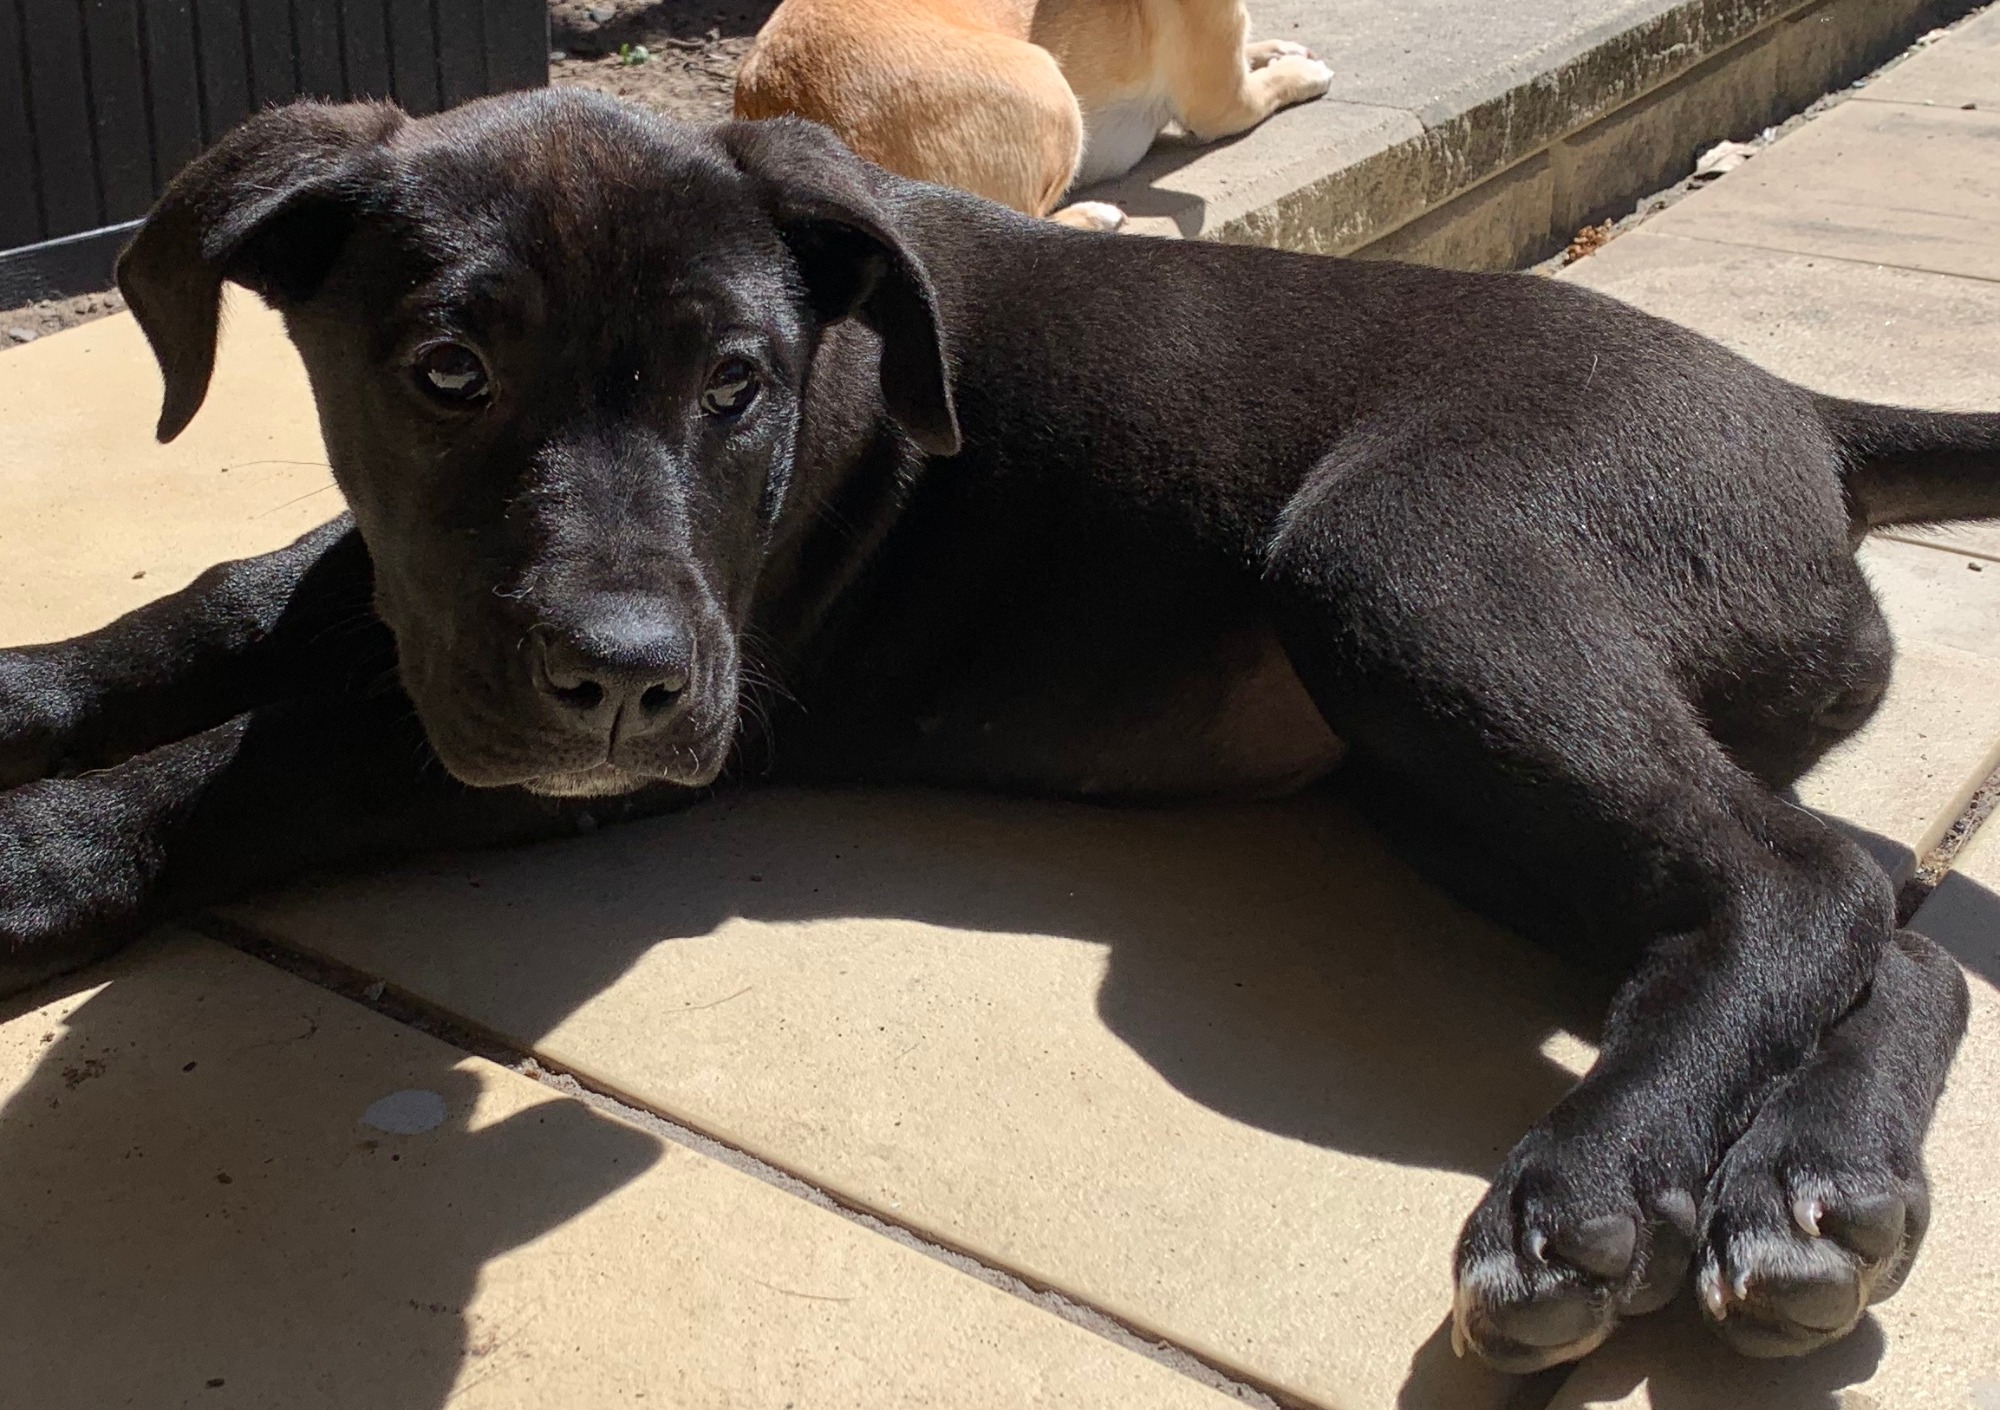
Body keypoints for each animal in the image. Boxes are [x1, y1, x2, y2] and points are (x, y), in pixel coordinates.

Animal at [2, 88, 1990, 1374]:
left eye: (738, 389)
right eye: (445, 374)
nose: (630, 676)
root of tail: (1801, 410)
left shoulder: (606, 731)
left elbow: (257, 762)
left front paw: (37, 850)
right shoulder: (430, 613)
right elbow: (230, 603)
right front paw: (31, 684)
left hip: (1412, 570)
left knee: (1803, 874)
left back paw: (1593, 1182)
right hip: (1433, 775)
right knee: (1870, 913)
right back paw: (1813, 1194)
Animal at [733, 0, 1332, 230]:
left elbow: (1257, 49)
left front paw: (1280, 49)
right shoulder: (1225, 104)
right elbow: (1270, 88)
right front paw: (1305, 72)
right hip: (1053, 92)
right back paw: (1093, 216)